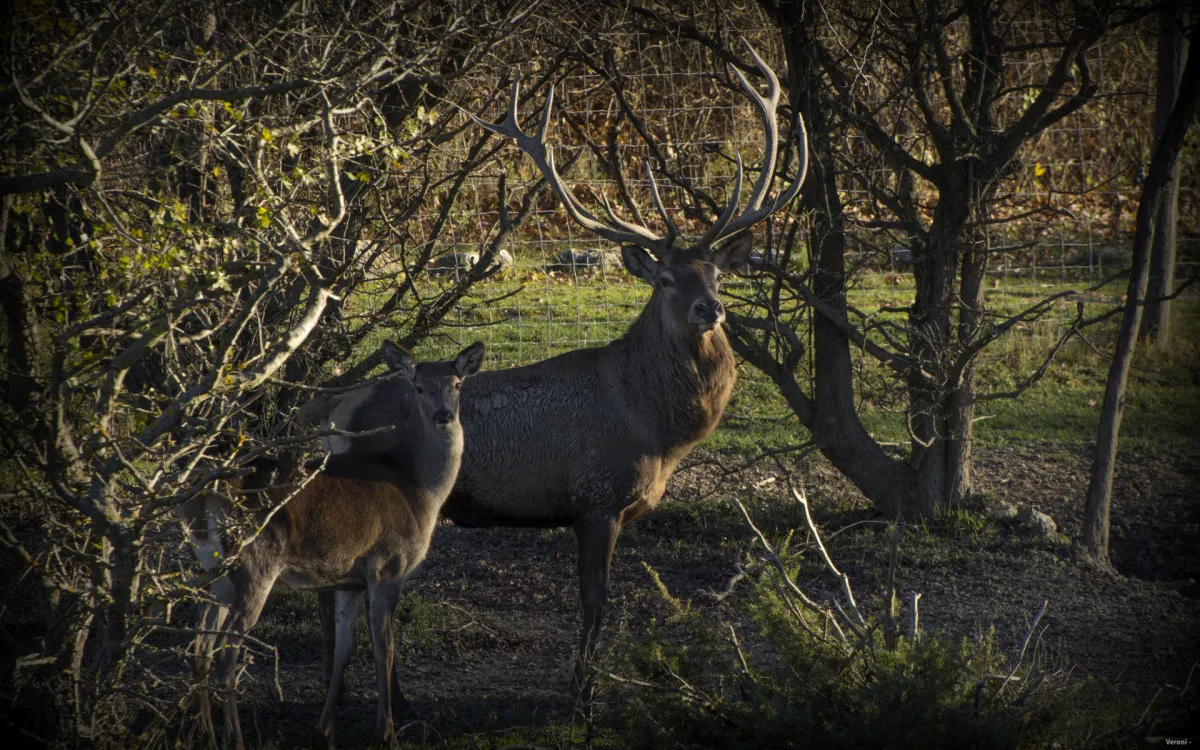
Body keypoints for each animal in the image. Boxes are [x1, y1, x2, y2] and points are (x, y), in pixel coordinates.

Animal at [175, 343, 482, 744]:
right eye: (418, 387)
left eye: (457, 384)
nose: (444, 415)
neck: (417, 488)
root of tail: (205, 496)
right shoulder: (388, 566)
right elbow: (385, 648)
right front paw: (386, 732)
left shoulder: (349, 580)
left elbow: (343, 651)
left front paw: (325, 729)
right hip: (254, 563)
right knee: (226, 654)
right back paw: (235, 739)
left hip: (214, 570)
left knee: (201, 646)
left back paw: (206, 734)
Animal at [302, 40, 806, 696]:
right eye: (667, 279)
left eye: (716, 273)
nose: (710, 309)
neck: (657, 427)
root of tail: (327, 407)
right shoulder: (595, 496)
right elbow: (595, 599)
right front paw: (581, 691)